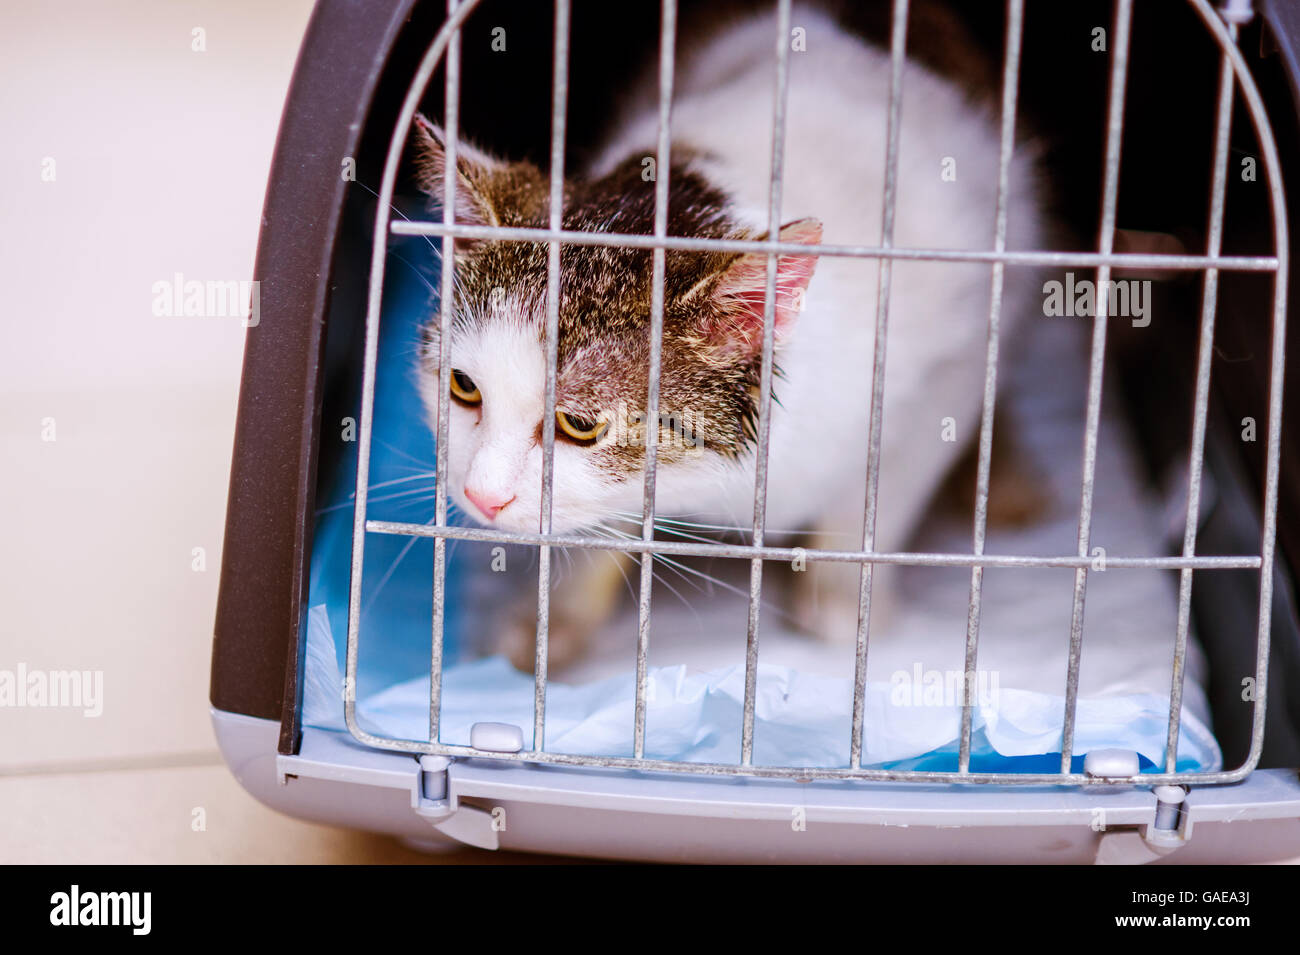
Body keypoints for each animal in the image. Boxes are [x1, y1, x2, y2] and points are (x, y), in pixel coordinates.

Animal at [413, 1, 1045, 670]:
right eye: (463, 387)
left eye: (578, 425)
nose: (480, 496)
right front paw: (555, 622)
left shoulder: (953, 358)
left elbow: (882, 491)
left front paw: (843, 603)